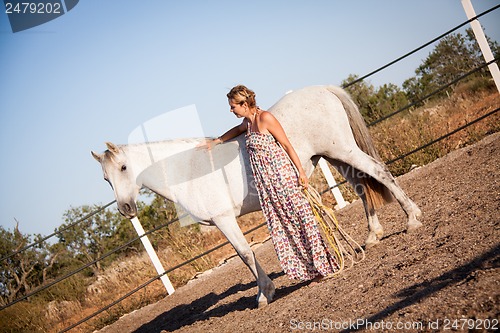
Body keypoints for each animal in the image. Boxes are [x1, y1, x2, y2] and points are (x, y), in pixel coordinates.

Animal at [91, 85, 422, 306]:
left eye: (123, 168)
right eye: (106, 178)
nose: (126, 208)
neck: (187, 170)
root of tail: (321, 89)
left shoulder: (225, 220)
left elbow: (245, 254)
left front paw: (265, 293)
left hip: (343, 150)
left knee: (379, 173)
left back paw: (413, 220)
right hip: (336, 156)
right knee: (363, 188)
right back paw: (372, 235)